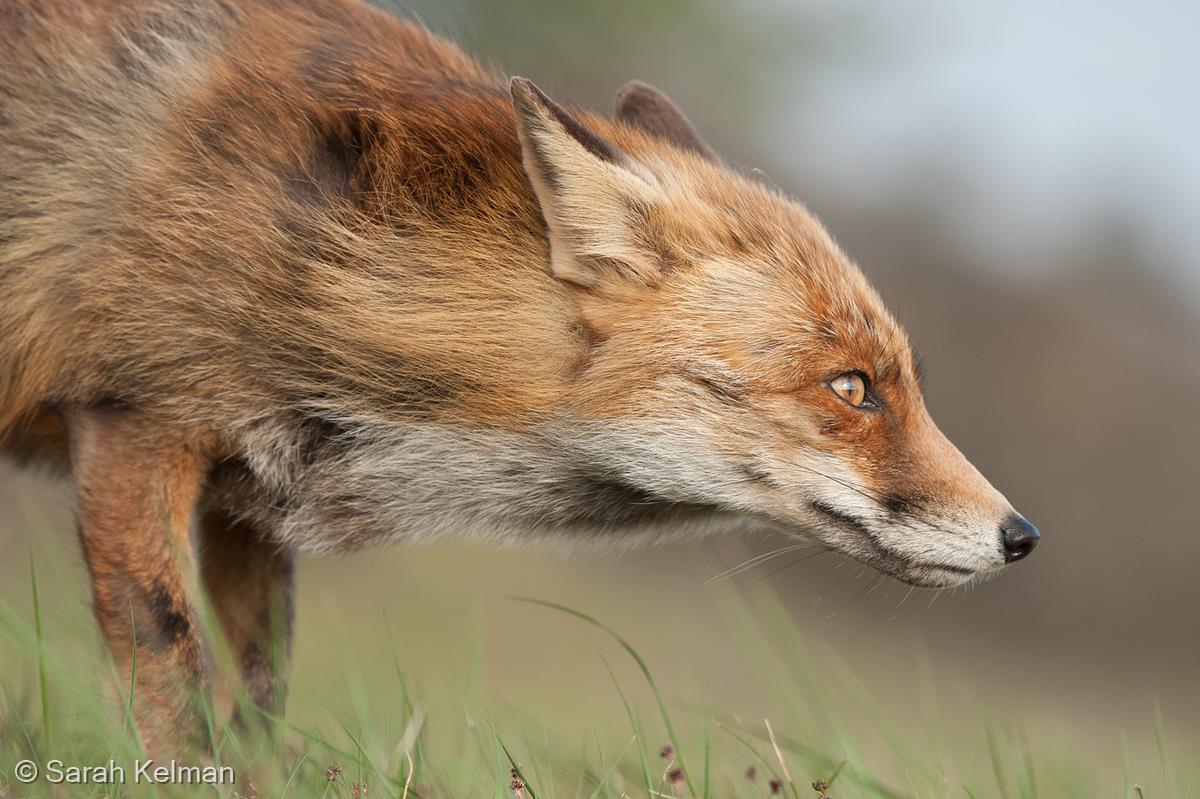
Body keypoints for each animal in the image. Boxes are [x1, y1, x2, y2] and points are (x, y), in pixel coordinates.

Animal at [0, 0, 1032, 753]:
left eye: (903, 382)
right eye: (853, 387)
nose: (1020, 535)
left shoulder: (247, 505)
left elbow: (258, 704)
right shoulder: (134, 425)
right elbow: (178, 692)